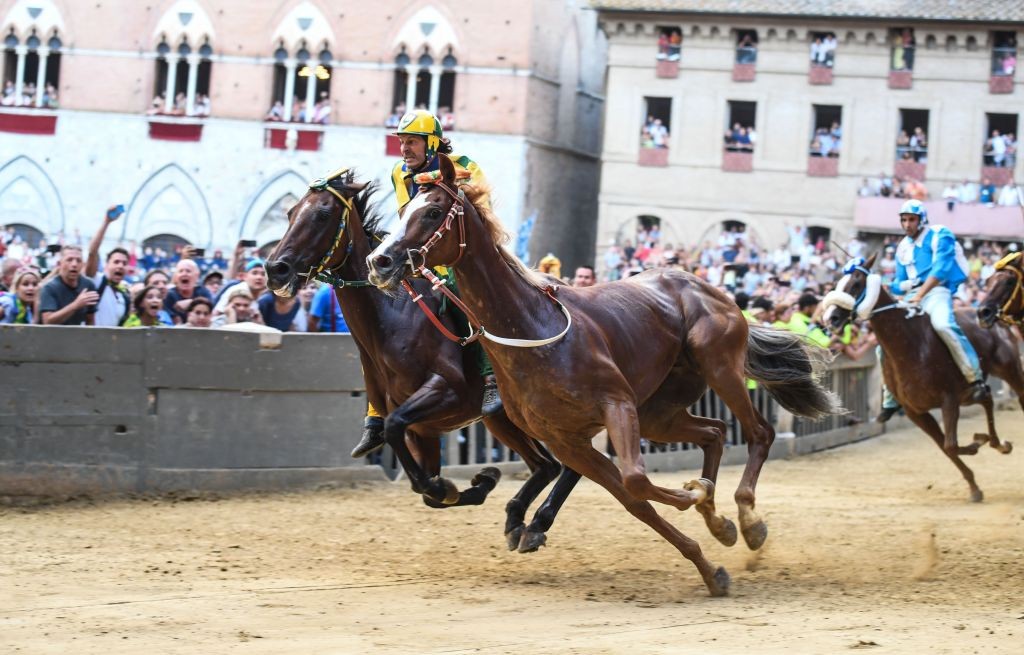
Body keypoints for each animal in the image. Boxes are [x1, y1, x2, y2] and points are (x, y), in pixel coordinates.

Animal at [264, 169, 581, 552]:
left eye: (322, 215)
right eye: (291, 212)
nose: (275, 269)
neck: (394, 318)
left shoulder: (445, 392)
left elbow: (396, 429)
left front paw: (452, 485)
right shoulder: (424, 430)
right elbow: (423, 482)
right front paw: (477, 482)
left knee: (570, 464)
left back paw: (536, 522)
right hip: (503, 420)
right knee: (547, 466)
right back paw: (519, 519)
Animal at [368, 153, 839, 593]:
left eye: (432, 211)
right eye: (403, 210)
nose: (380, 261)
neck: (533, 329)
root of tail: (713, 289)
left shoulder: (616, 404)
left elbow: (636, 480)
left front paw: (699, 498)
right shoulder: (568, 440)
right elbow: (635, 500)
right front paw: (710, 563)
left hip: (718, 365)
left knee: (759, 431)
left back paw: (748, 520)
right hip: (660, 409)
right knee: (715, 431)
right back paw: (719, 518)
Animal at [823, 251, 1015, 501]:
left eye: (856, 283)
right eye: (837, 282)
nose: (831, 318)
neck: (910, 345)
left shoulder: (949, 400)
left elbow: (950, 445)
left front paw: (976, 443)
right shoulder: (915, 411)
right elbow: (946, 447)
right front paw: (974, 485)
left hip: (1009, 370)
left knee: (990, 396)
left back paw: (998, 442)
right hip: (969, 393)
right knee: (987, 398)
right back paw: (997, 442)